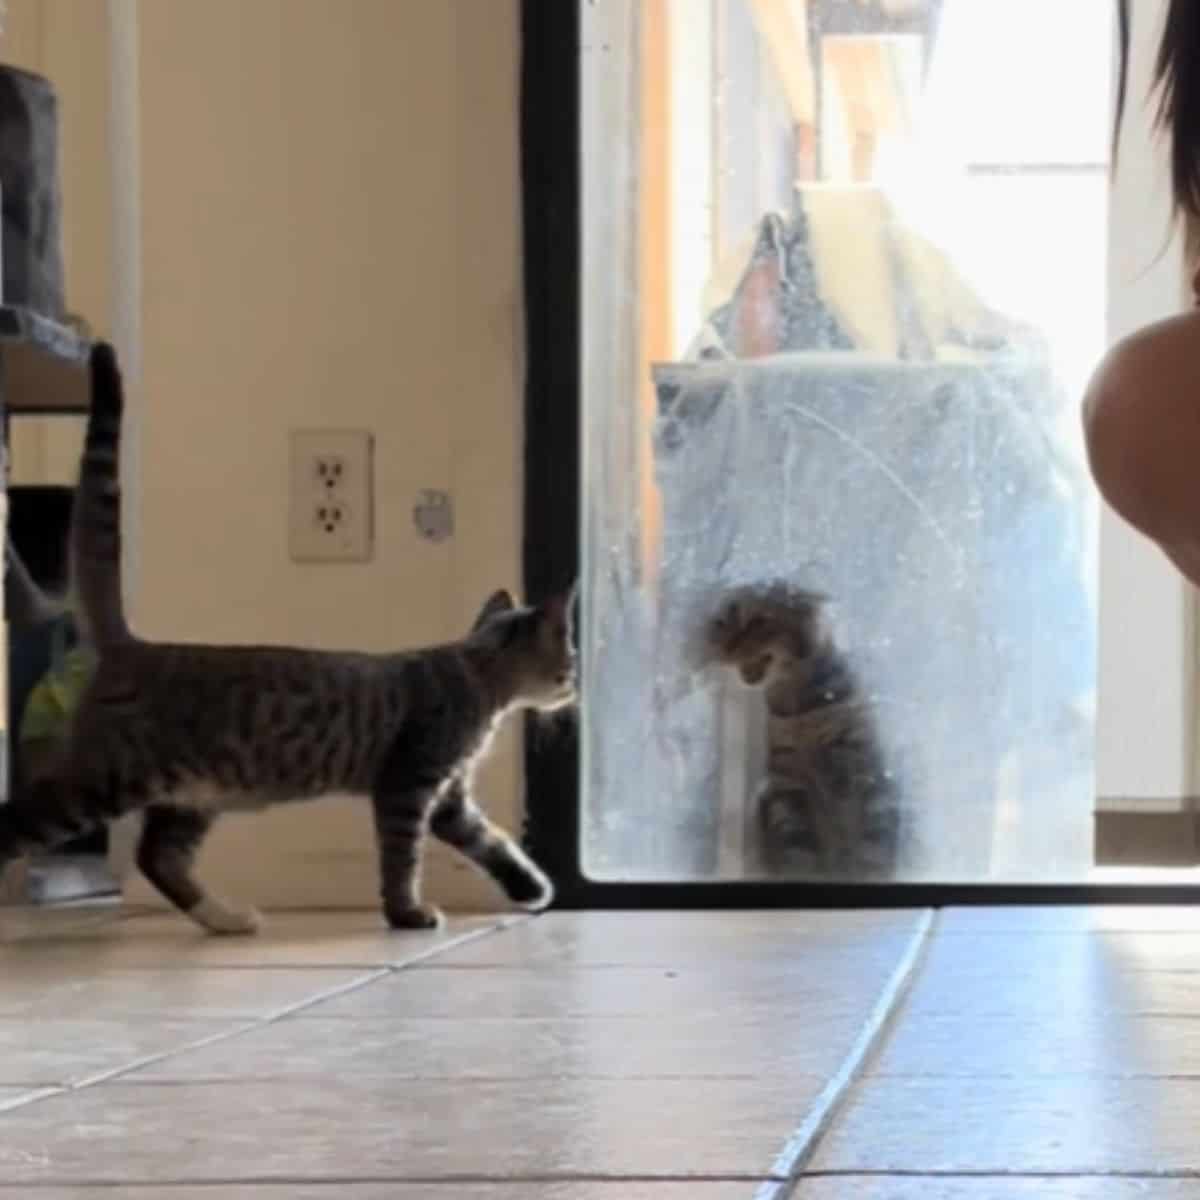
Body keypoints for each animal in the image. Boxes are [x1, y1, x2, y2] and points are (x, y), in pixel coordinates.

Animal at [0, 343, 576, 931]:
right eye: (571, 656)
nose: (574, 684)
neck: (472, 672)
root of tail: (130, 645)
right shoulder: (407, 783)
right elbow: (402, 857)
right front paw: (408, 913)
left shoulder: (449, 796)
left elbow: (491, 840)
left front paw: (531, 886)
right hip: (103, 779)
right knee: (20, 825)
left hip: (193, 795)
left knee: (158, 857)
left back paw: (225, 918)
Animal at [705, 583, 897, 878]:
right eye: (723, 623)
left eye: (758, 621)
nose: (726, 647)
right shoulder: (787, 780)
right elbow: (798, 848)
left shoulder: (850, 754)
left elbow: (864, 839)